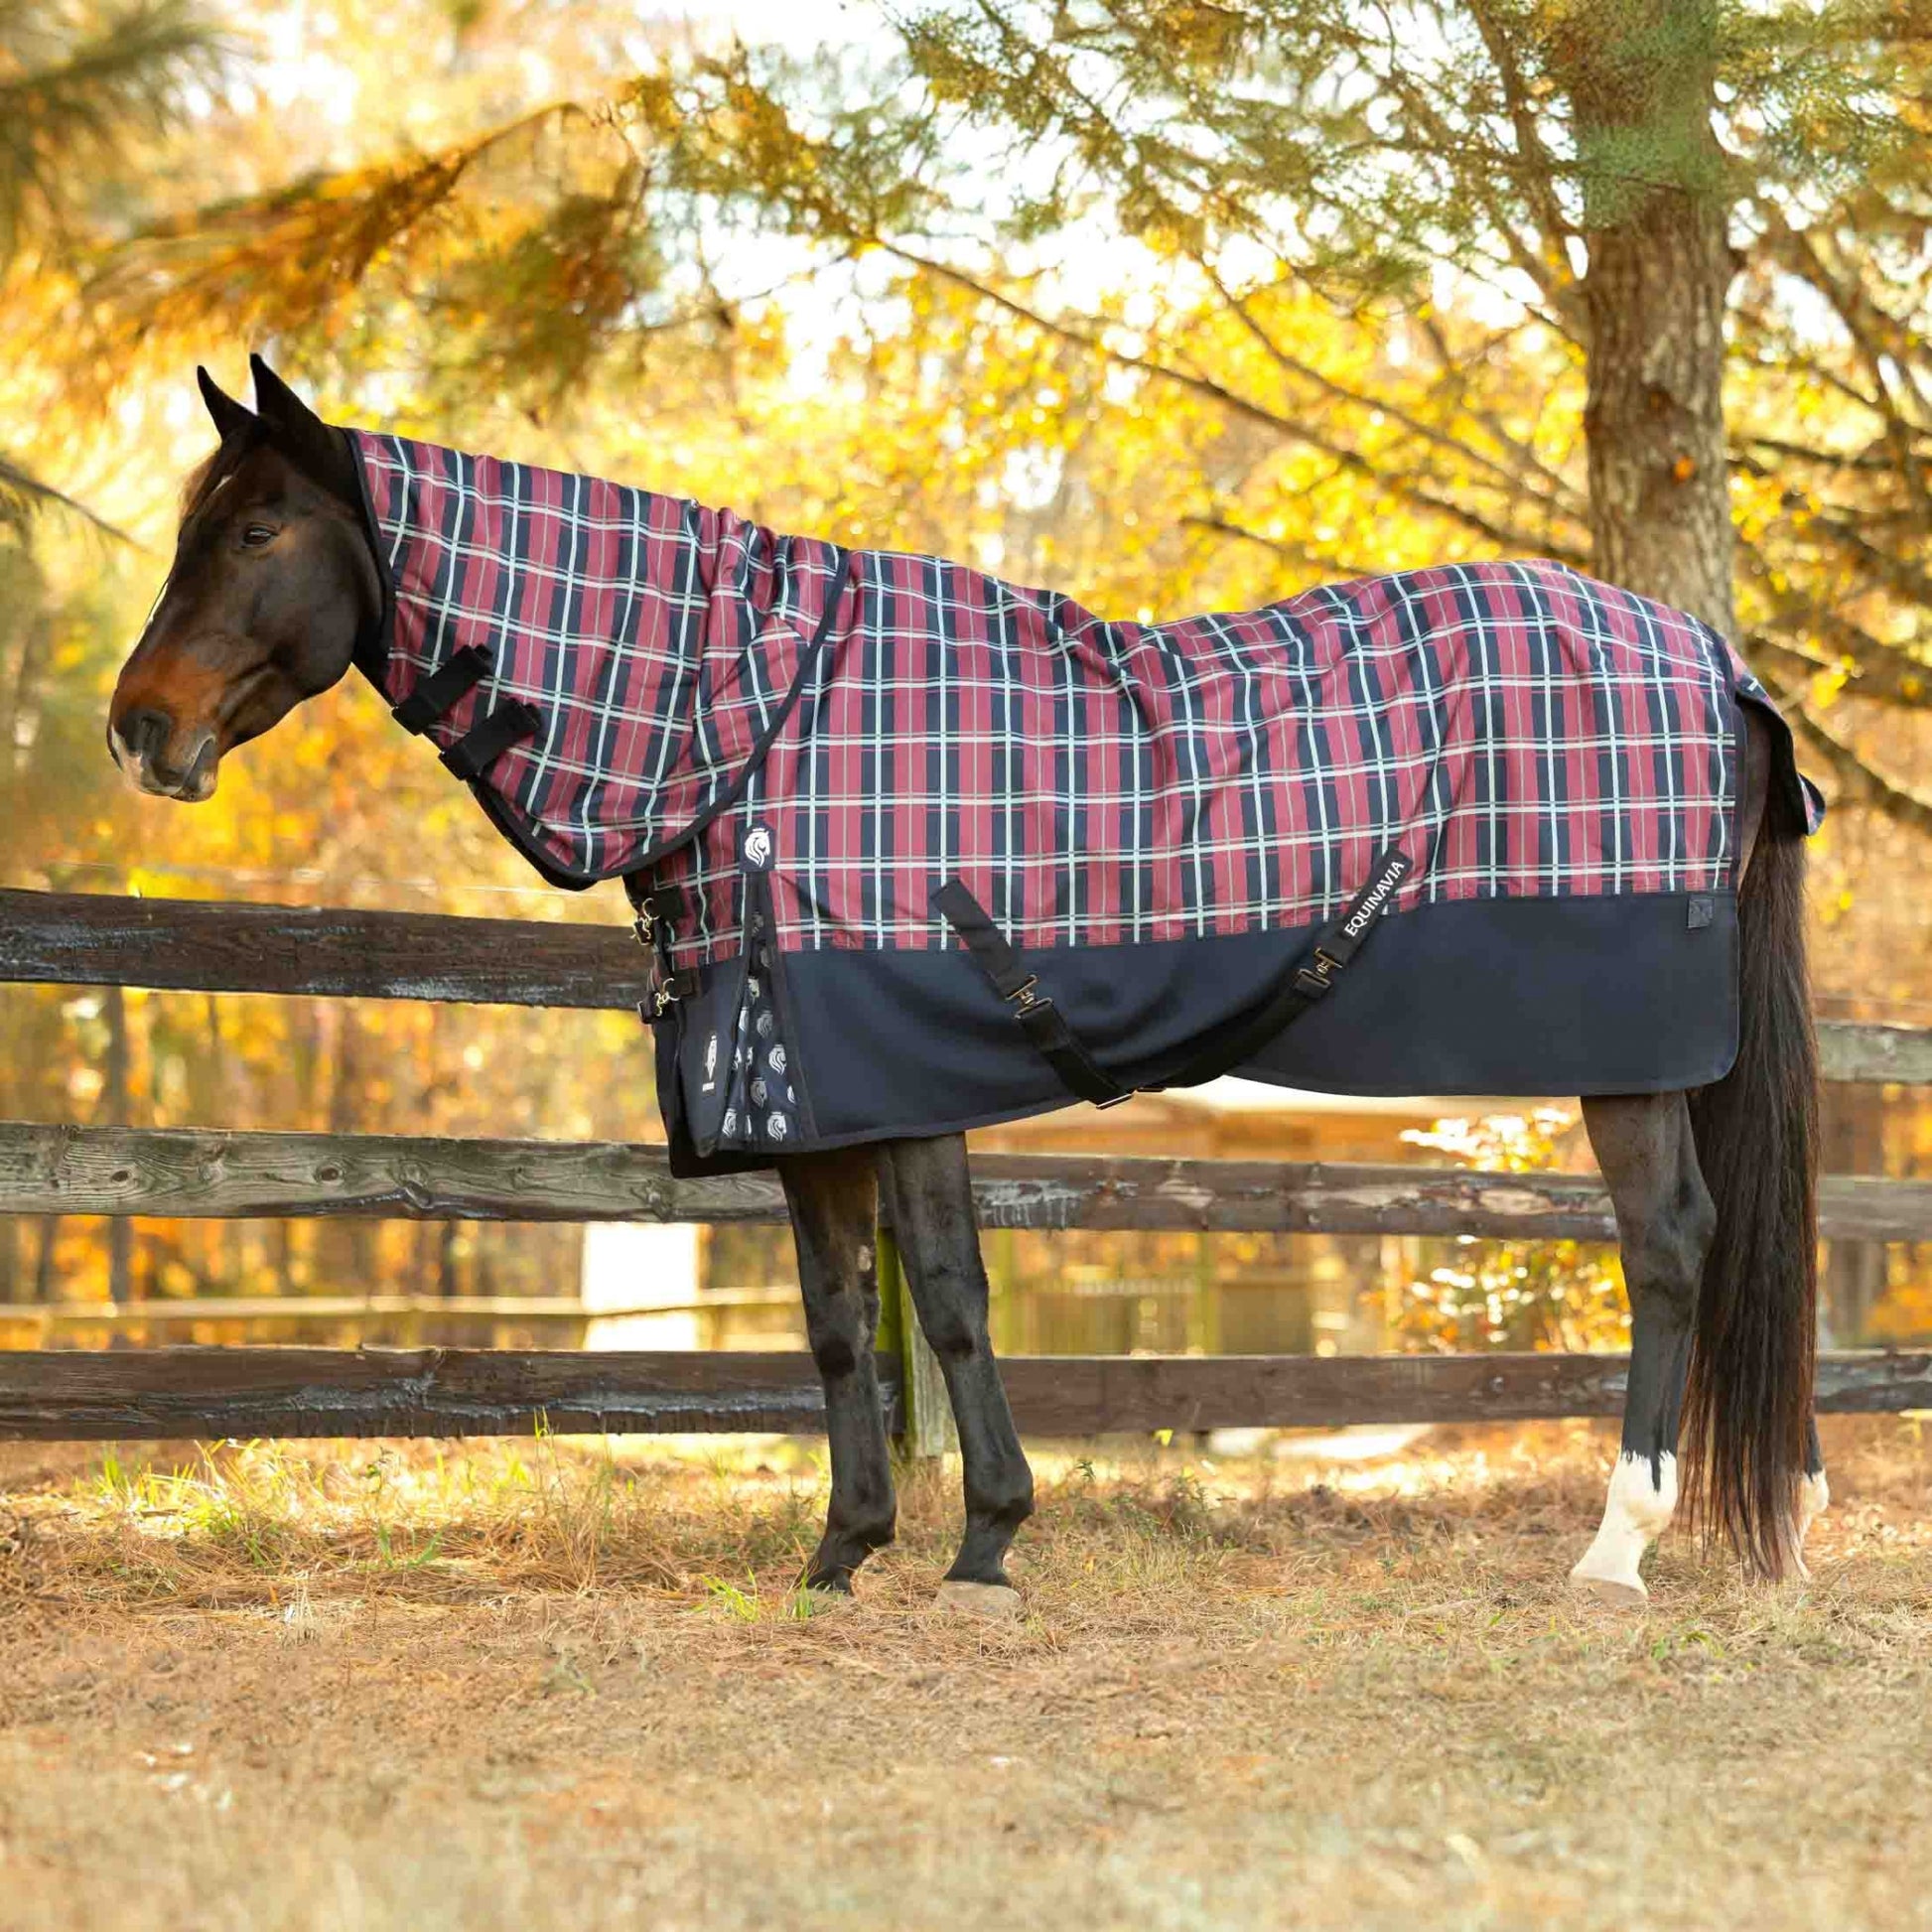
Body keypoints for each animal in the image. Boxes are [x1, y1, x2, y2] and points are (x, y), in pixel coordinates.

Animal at [108, 355, 1826, 1612]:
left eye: (256, 530)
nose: (139, 726)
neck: (754, 721)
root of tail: (1714, 664)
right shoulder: (800, 1093)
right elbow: (830, 1325)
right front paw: (840, 1548)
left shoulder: (904, 1071)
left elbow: (941, 1296)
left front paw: (987, 1538)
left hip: (1627, 1059)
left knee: (1670, 1246)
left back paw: (1615, 1543)